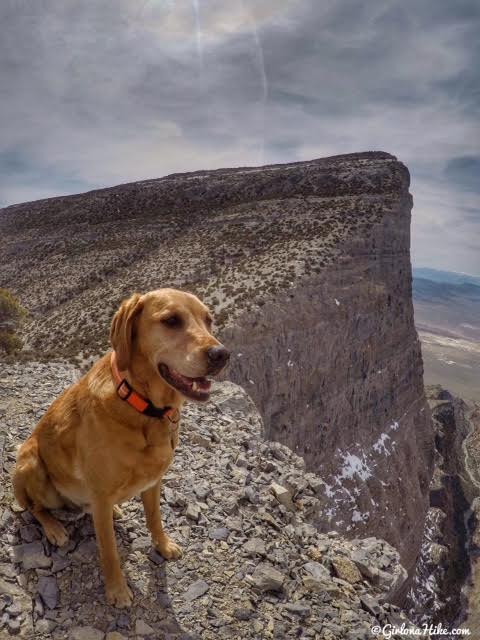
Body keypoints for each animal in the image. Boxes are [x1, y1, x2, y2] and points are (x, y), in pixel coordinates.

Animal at [11, 288, 229, 604]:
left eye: (209, 320)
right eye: (171, 320)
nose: (221, 355)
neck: (143, 407)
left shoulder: (153, 482)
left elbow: (155, 519)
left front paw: (163, 545)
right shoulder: (101, 495)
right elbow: (109, 550)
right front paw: (117, 591)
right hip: (30, 463)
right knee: (35, 508)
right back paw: (54, 528)